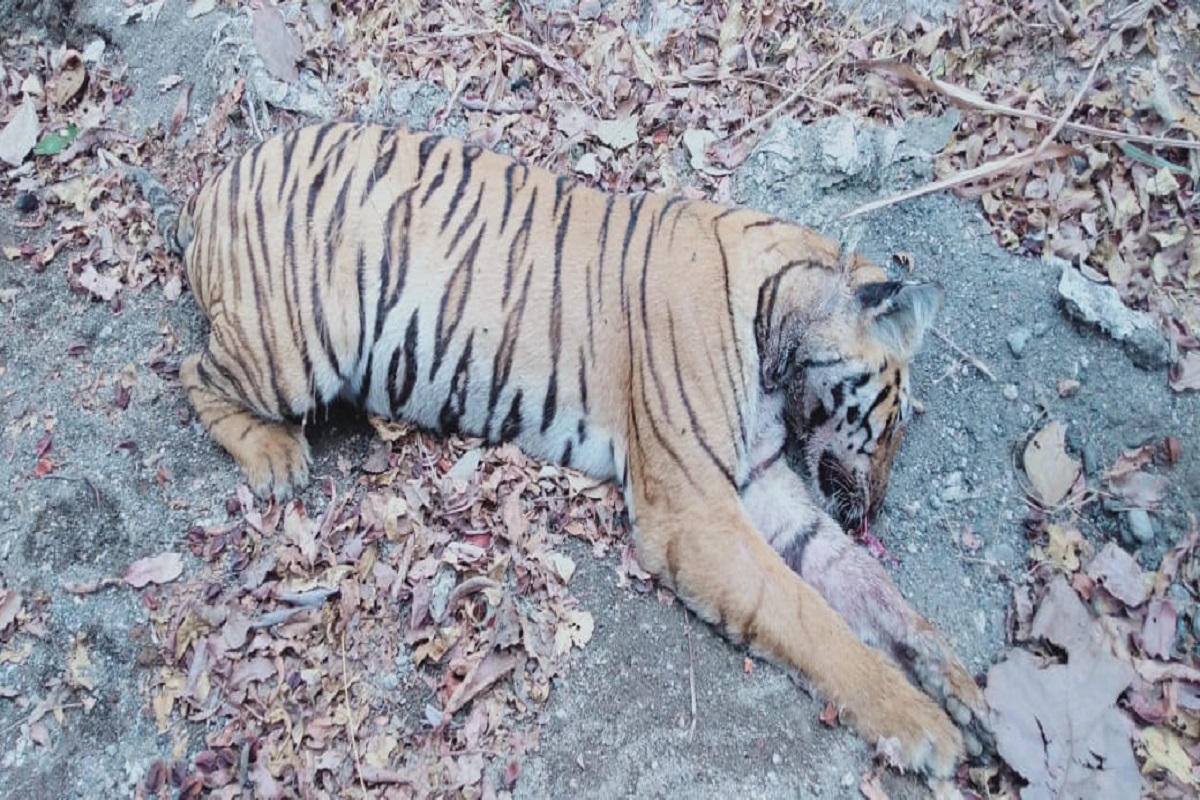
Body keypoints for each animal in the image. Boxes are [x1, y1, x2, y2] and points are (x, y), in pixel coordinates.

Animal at [128, 122, 991, 778]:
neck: (779, 342)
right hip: (302, 346)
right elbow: (812, 619)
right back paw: (274, 458)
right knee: (192, 371)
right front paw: (924, 726)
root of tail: (216, 183)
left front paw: (958, 684)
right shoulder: (696, 514)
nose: (873, 513)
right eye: (895, 416)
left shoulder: (763, 485)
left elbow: (865, 589)